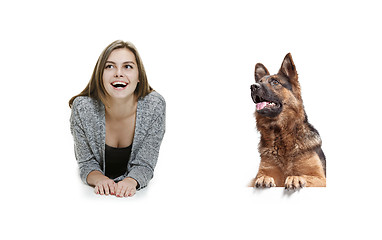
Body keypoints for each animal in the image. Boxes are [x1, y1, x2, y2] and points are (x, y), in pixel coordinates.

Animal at [249, 53, 326, 190]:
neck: (280, 134)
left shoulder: (320, 178)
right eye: (259, 82)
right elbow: (262, 176)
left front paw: (295, 178)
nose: (253, 86)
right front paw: (264, 179)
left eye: (275, 82)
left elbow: (304, 176)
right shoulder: (260, 174)